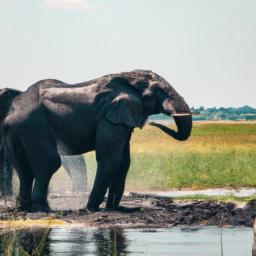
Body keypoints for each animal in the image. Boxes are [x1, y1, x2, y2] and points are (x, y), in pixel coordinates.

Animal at [0, 69, 192, 211]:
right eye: (161, 92)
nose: (155, 122)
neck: (128, 79)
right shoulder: (109, 117)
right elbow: (110, 159)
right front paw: (91, 208)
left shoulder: (120, 119)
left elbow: (123, 161)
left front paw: (112, 208)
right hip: (34, 126)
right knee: (49, 163)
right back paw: (43, 209)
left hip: (17, 131)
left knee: (24, 169)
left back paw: (25, 208)